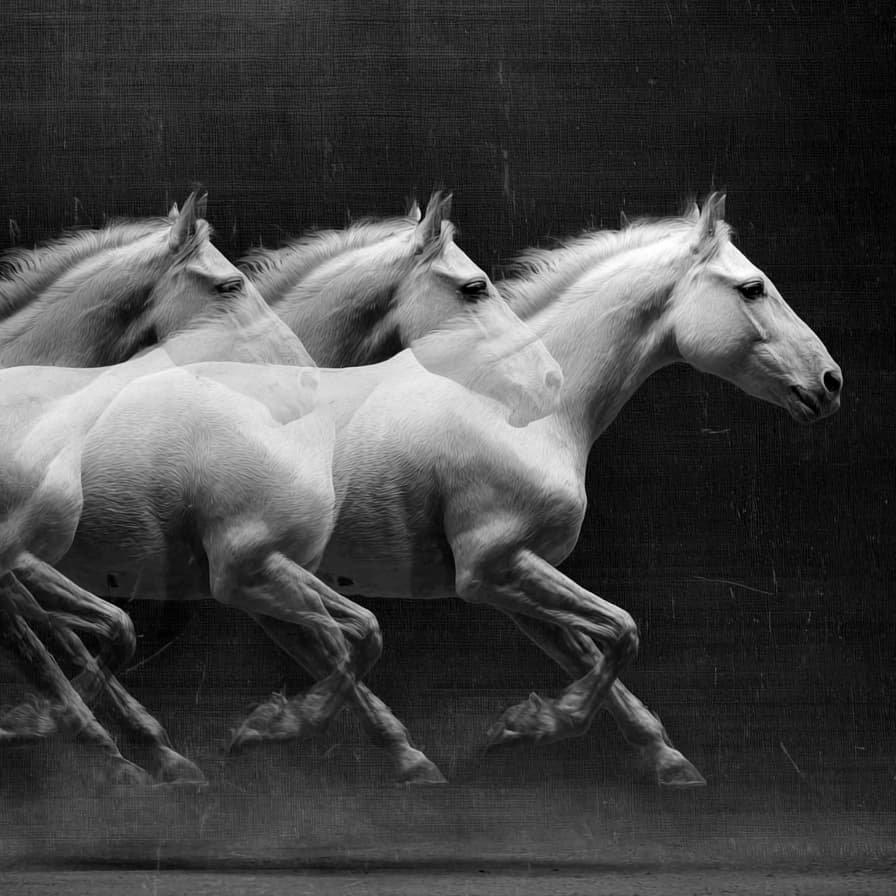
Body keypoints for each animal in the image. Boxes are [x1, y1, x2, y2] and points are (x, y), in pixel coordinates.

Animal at [228, 194, 841, 788]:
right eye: (752, 288)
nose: (830, 382)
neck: (521, 410)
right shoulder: (492, 569)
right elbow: (622, 631)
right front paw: (530, 725)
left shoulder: (519, 575)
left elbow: (592, 651)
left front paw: (664, 760)